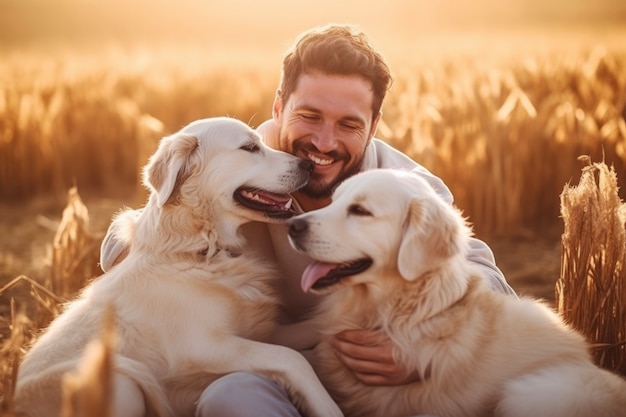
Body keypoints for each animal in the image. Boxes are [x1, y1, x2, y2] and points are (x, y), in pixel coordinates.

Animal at [15, 116, 342, 416]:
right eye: (249, 147)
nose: (309, 165)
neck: (199, 250)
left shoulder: (258, 333)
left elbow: (315, 326)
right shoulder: (206, 348)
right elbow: (291, 358)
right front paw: (328, 407)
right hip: (121, 379)